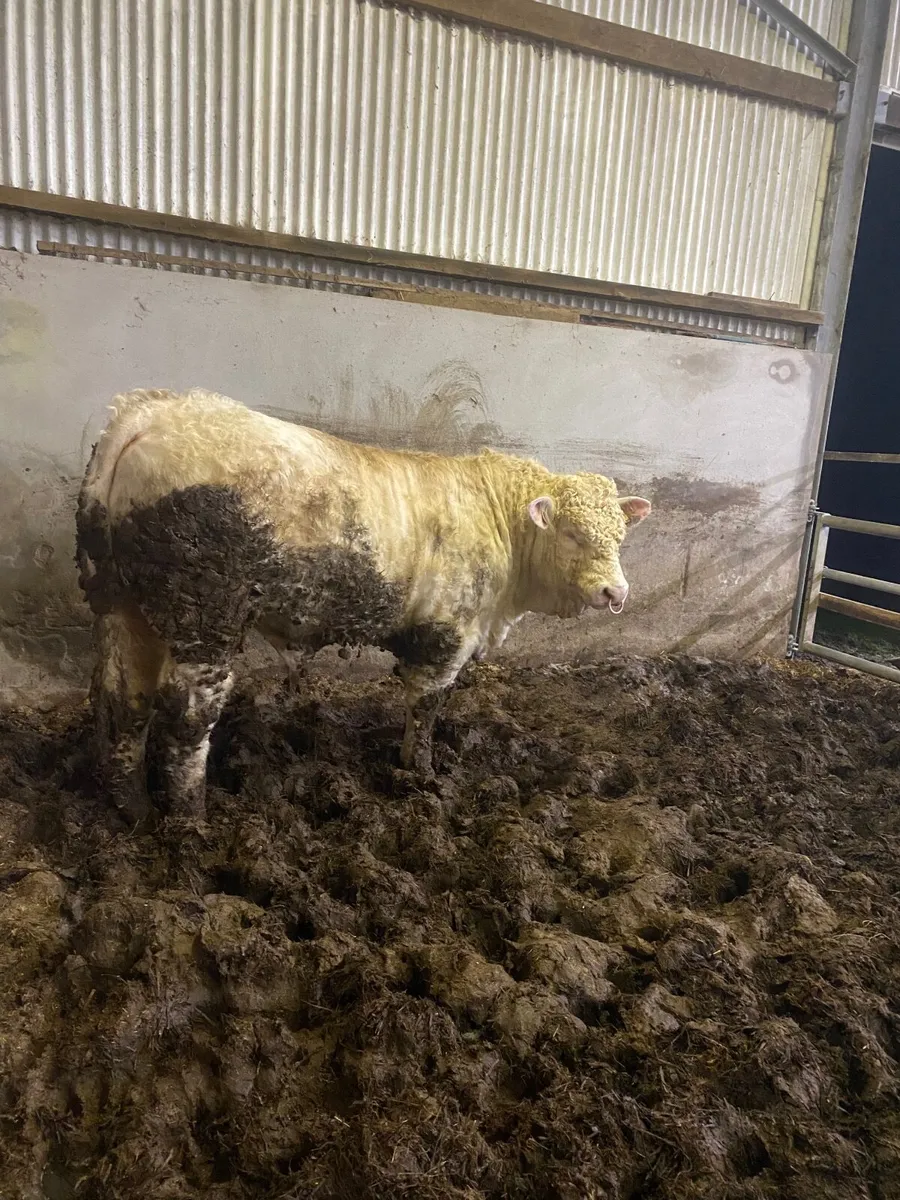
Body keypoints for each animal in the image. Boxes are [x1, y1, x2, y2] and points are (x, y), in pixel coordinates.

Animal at [76, 388, 651, 821]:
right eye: (573, 533)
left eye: (621, 535)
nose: (616, 593)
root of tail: (149, 413)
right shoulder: (446, 633)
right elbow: (426, 707)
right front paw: (420, 774)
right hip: (205, 616)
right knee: (187, 715)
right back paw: (189, 820)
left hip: (122, 604)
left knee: (122, 699)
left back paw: (130, 808)